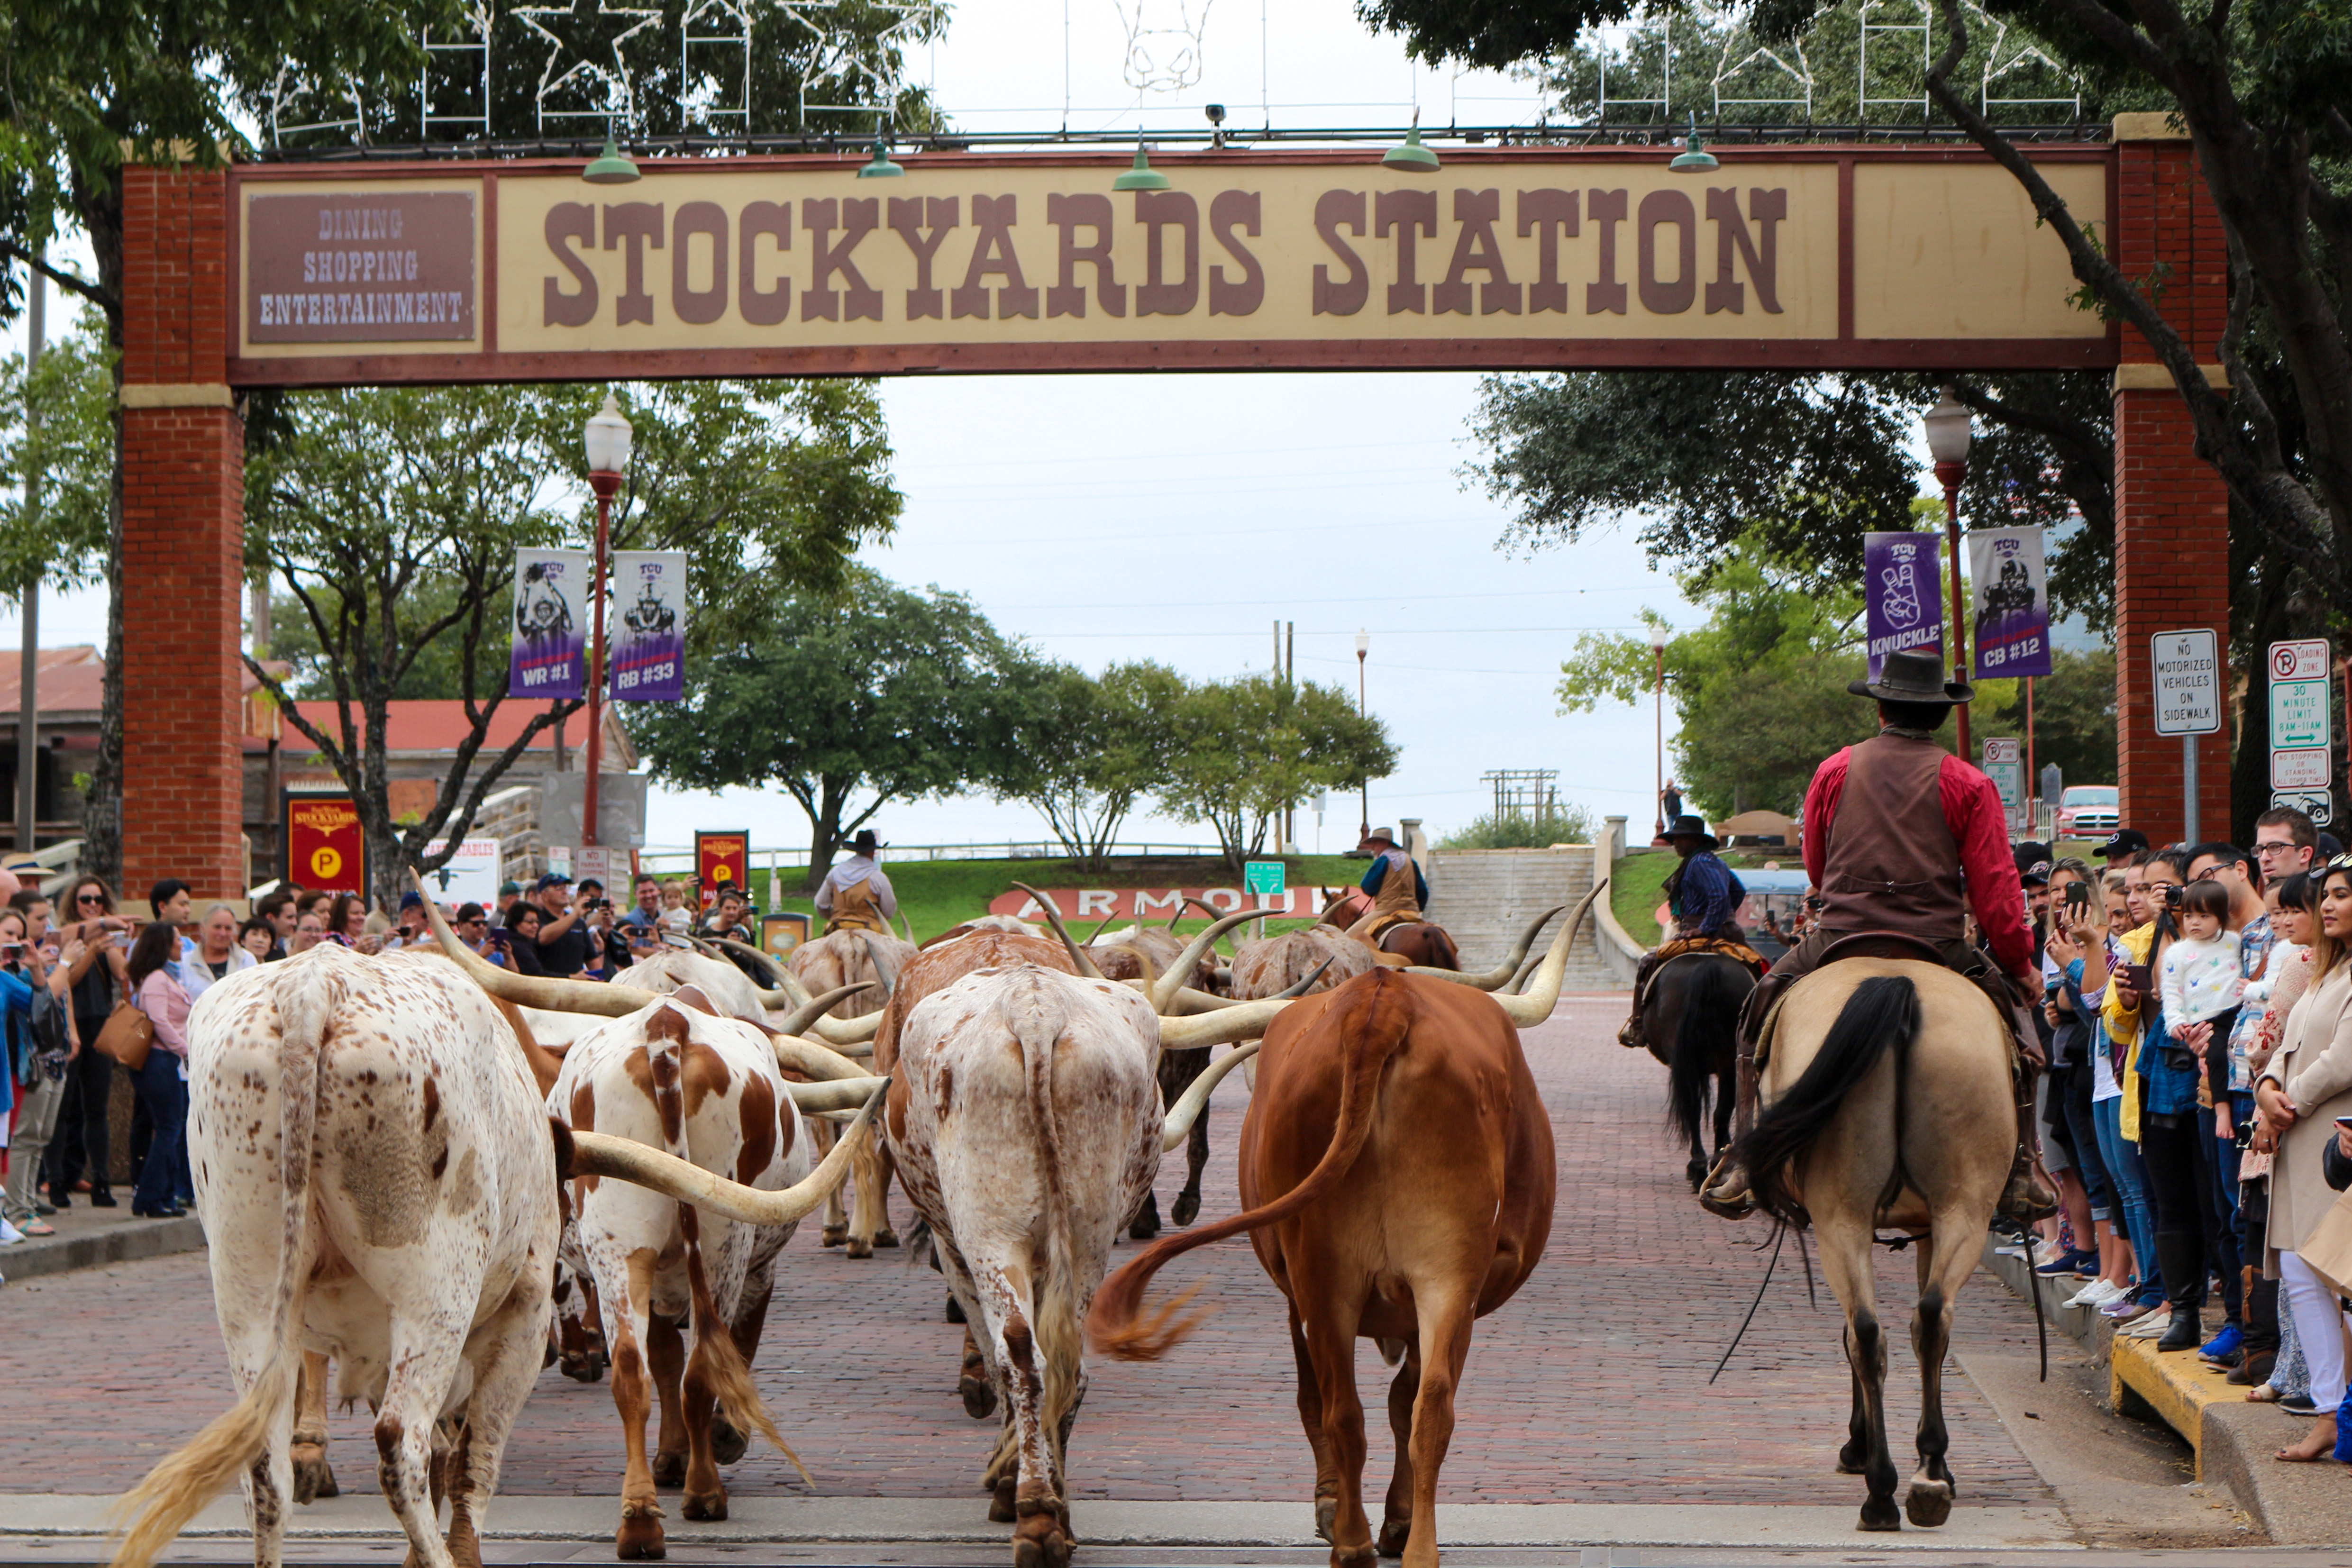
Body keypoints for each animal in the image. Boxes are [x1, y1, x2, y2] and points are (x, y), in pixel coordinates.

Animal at [1646, 959, 1759, 1189]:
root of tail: (1708, 966)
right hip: (1727, 1061)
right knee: (1717, 1111)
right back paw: (1713, 1163)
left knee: (1696, 1109)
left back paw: (1701, 1166)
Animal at [1703, 959, 2013, 1532]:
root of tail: (1899, 984)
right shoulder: (1929, 1225)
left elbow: (1850, 1333)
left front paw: (1859, 1442)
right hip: (1962, 1207)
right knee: (1926, 1318)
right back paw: (1926, 1478)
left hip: (1839, 1218)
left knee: (1869, 1333)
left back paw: (1883, 1488)